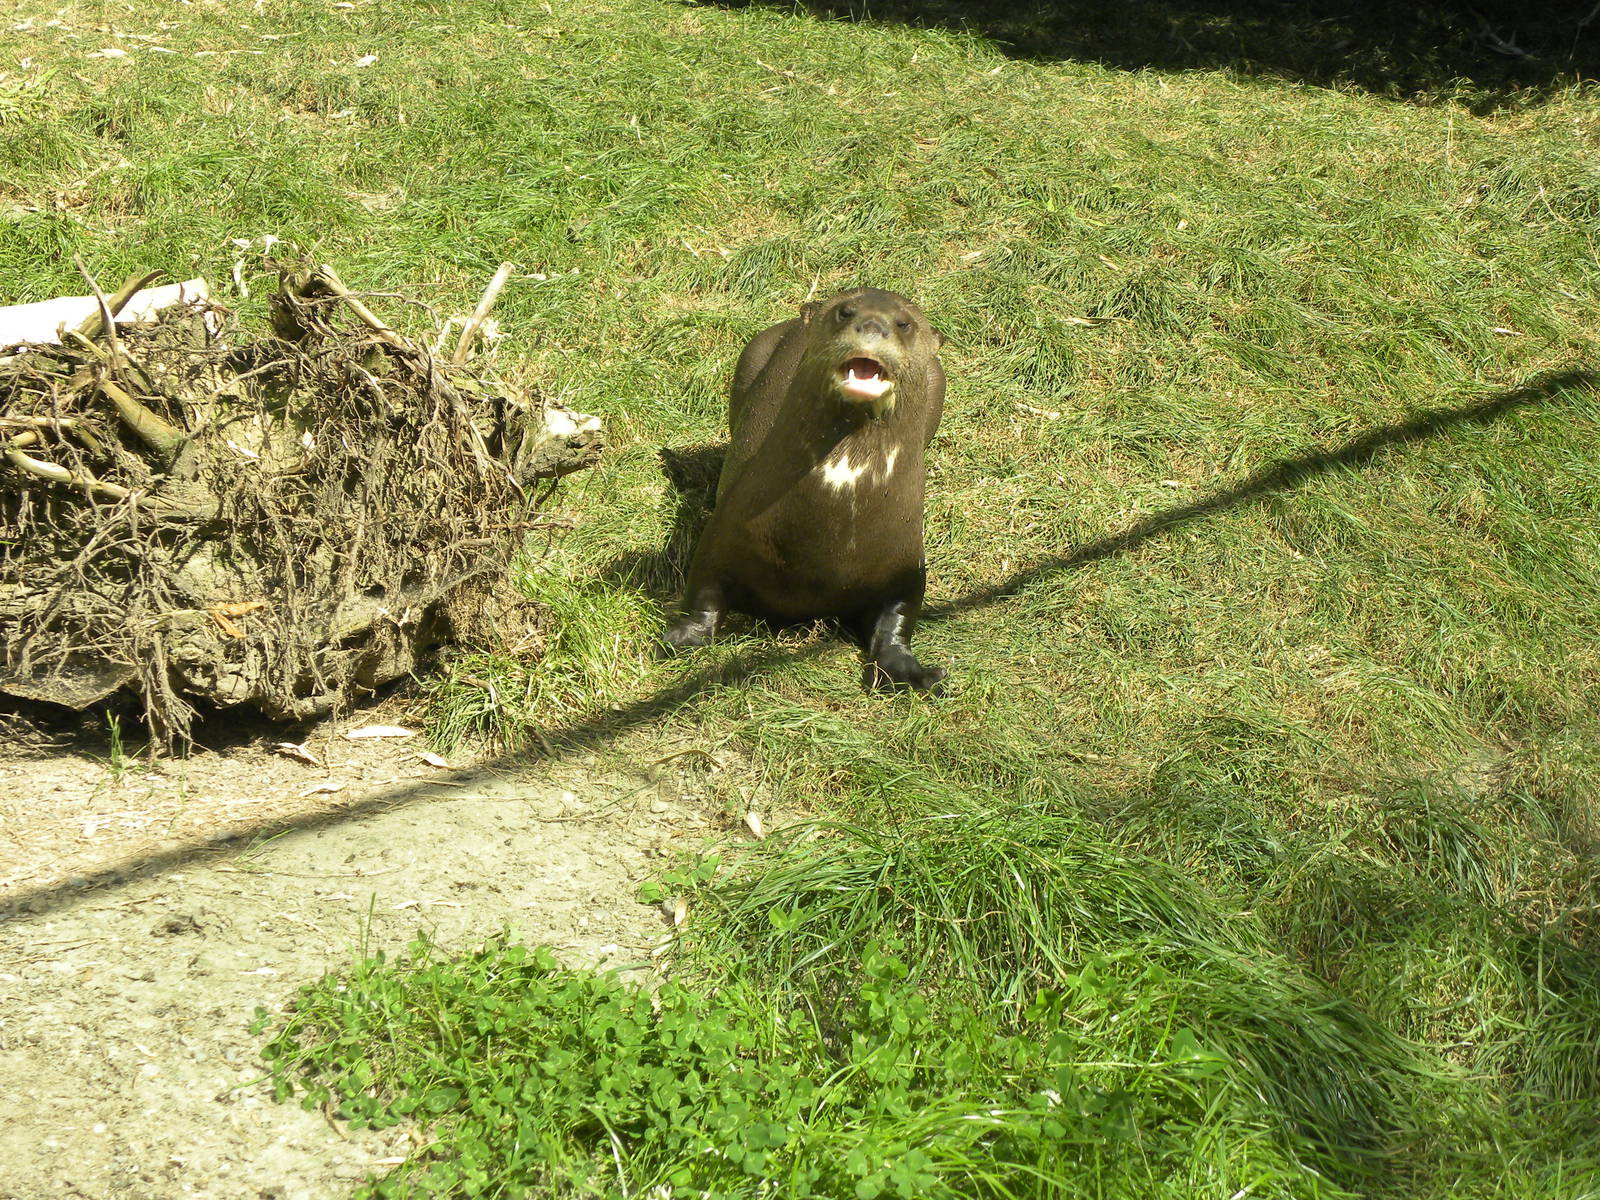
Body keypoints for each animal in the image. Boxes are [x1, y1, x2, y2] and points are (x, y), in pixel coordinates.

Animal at [661, 287, 946, 693]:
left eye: (904, 324)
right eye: (845, 312)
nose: (872, 326)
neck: (839, 497)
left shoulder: (906, 566)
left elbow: (900, 618)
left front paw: (911, 672)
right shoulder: (724, 530)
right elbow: (703, 588)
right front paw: (682, 637)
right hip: (751, 355)